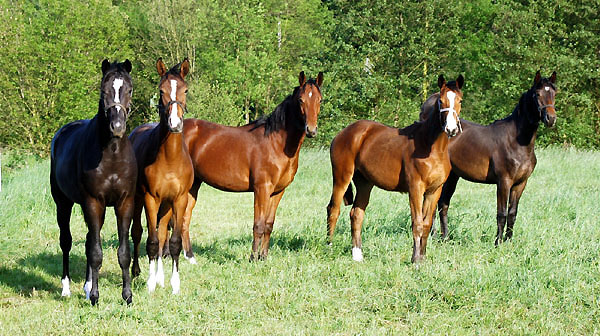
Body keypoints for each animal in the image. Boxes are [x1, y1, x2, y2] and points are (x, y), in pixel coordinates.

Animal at [49, 59, 138, 306]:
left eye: (129, 90)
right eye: (103, 90)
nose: (117, 127)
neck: (112, 154)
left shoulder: (124, 203)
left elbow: (122, 253)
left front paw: (127, 296)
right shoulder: (93, 202)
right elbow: (96, 253)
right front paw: (96, 297)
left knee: (90, 239)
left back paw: (88, 286)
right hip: (63, 203)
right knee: (66, 241)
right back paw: (67, 288)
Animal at [130, 58, 193, 294]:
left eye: (185, 89)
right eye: (161, 90)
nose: (174, 123)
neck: (170, 159)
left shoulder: (179, 199)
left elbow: (172, 241)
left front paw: (174, 284)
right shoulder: (151, 198)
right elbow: (152, 241)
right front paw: (149, 283)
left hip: (166, 205)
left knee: (163, 231)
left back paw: (161, 278)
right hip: (138, 200)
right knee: (137, 232)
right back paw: (137, 272)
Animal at [183, 70, 324, 260]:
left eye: (320, 100)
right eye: (301, 99)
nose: (311, 130)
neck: (276, 143)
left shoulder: (278, 191)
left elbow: (269, 224)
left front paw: (263, 257)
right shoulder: (261, 189)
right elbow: (258, 225)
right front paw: (252, 258)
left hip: (193, 184)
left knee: (183, 219)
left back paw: (187, 256)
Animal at [328, 74, 464, 262]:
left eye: (460, 100)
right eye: (440, 101)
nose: (451, 129)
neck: (431, 148)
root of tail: (342, 134)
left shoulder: (434, 191)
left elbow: (427, 223)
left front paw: (422, 258)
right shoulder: (415, 188)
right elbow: (417, 223)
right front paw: (415, 260)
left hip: (364, 183)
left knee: (356, 214)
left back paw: (357, 255)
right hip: (341, 177)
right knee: (334, 209)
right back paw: (329, 247)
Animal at [422, 71, 556, 244]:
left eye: (553, 93)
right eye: (537, 94)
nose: (551, 118)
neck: (517, 142)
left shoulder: (520, 184)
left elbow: (512, 213)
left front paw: (508, 241)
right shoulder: (504, 182)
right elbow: (502, 214)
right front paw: (498, 242)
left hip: (453, 176)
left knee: (443, 204)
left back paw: (444, 237)